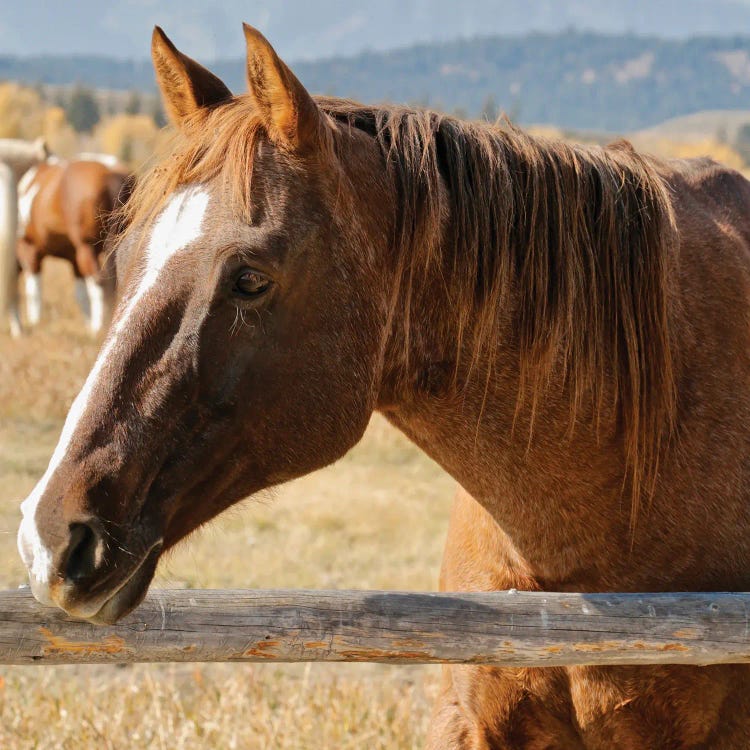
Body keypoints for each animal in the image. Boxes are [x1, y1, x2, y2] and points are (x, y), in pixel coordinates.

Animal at [14, 156, 131, 334]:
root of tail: (110, 172)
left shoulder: (29, 250)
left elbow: (33, 289)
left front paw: (36, 323)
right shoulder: (73, 259)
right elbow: (80, 293)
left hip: (87, 247)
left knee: (99, 282)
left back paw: (98, 328)